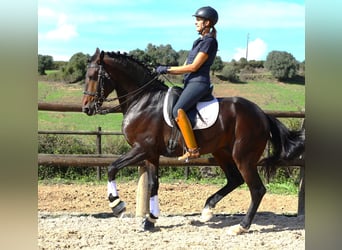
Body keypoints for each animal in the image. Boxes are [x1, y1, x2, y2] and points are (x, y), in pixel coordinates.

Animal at [83, 47, 304, 235]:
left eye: (93, 77)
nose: (86, 108)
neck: (143, 100)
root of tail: (262, 114)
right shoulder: (151, 153)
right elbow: (154, 184)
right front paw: (150, 220)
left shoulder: (141, 149)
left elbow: (112, 168)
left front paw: (117, 206)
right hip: (221, 152)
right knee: (235, 180)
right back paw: (207, 210)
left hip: (243, 157)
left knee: (257, 189)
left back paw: (241, 227)